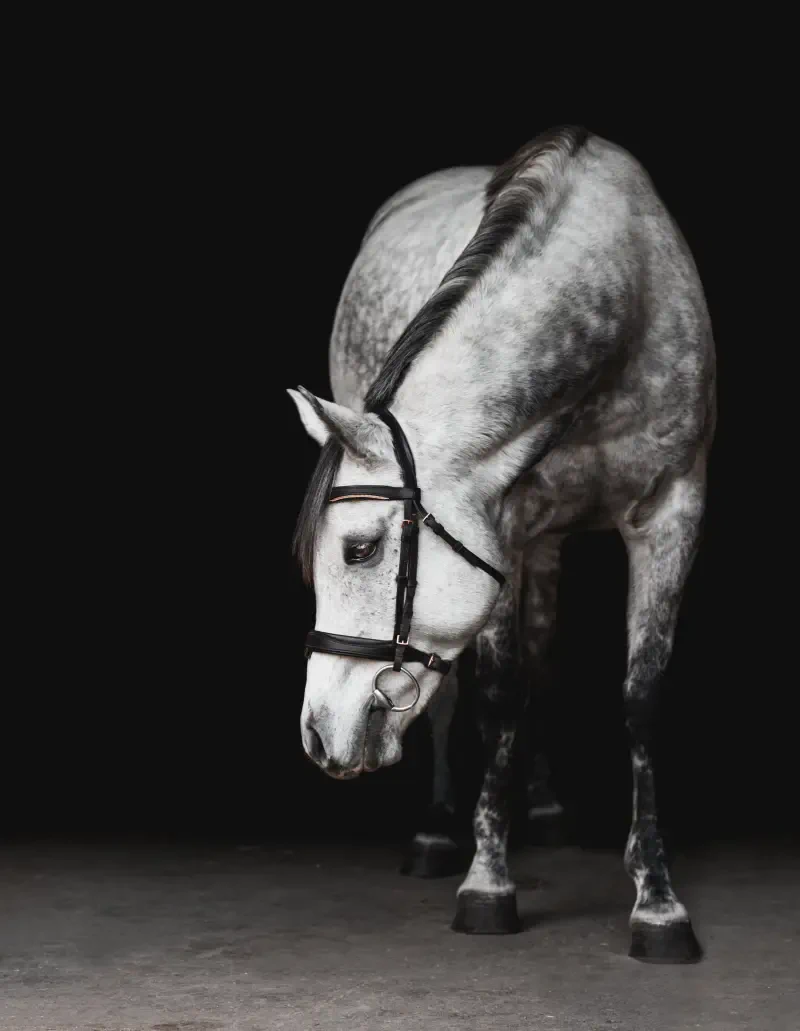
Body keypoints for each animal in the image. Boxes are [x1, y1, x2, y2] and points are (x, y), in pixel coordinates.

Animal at [288, 126, 716, 963]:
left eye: (358, 550)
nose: (318, 733)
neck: (621, 294)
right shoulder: (502, 532)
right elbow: (495, 695)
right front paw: (487, 882)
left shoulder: (672, 512)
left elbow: (639, 697)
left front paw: (657, 899)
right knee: (455, 693)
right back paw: (436, 831)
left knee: (543, 657)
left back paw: (544, 807)